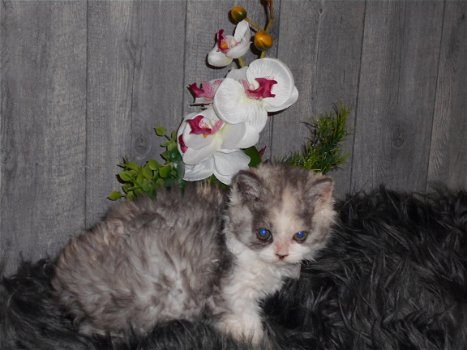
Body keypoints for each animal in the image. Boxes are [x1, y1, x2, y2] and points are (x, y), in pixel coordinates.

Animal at [52, 164, 336, 344]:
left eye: (300, 236)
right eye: (264, 233)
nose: (282, 254)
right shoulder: (230, 294)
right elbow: (248, 327)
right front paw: (261, 340)